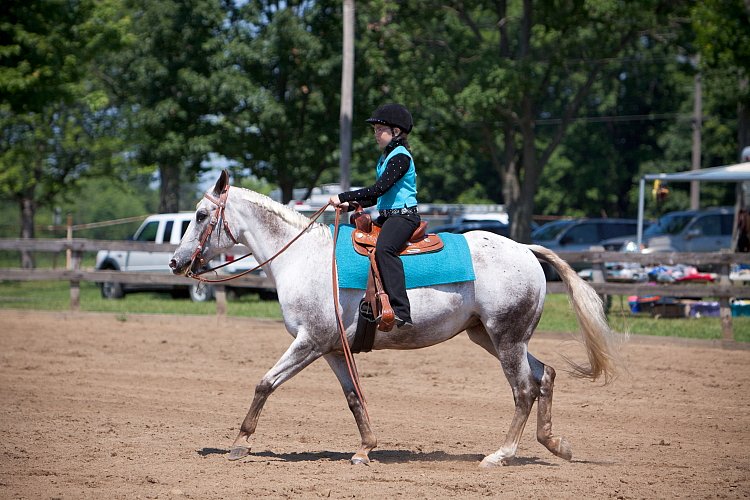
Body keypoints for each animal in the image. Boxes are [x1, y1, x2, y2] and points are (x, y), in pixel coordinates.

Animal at [172, 170, 624, 466]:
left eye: (200, 215)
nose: (177, 262)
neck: (304, 258)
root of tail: (527, 250)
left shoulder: (309, 341)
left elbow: (264, 383)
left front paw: (240, 443)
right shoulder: (331, 349)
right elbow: (354, 398)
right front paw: (366, 448)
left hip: (507, 338)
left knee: (524, 389)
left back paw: (500, 454)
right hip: (493, 337)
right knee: (545, 375)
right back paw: (555, 444)